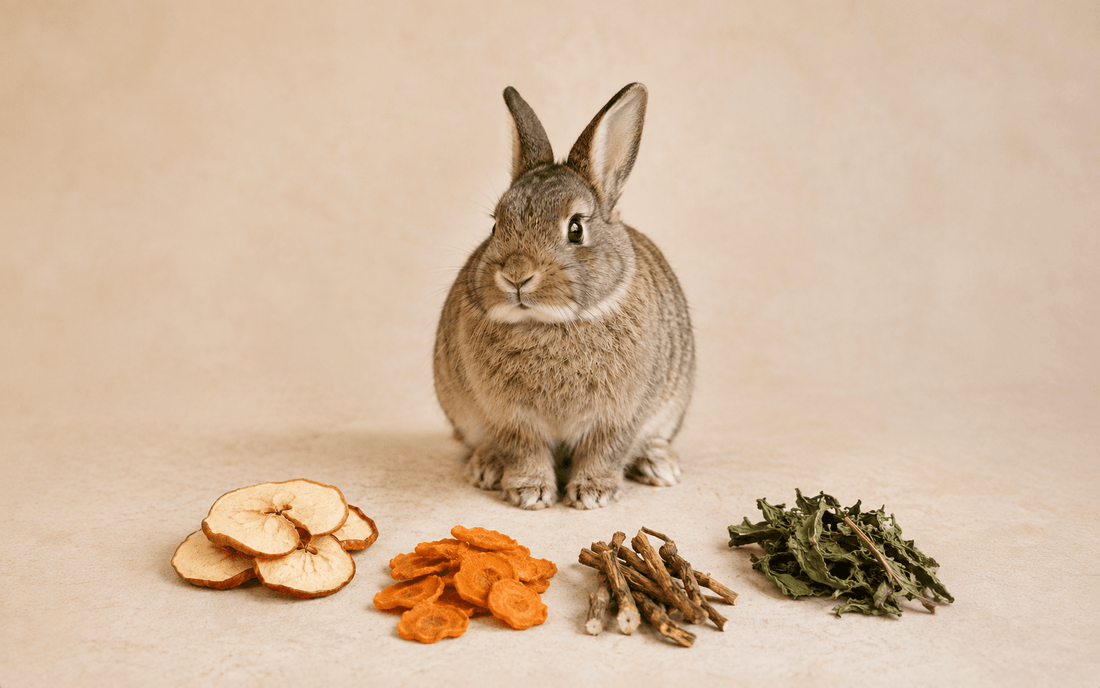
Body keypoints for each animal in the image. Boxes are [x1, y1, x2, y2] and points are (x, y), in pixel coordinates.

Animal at [433, 83, 695, 510]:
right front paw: (530, 492)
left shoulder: (619, 416)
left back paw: (660, 466)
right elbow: (524, 449)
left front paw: (592, 493)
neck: (548, 322)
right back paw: (486, 467)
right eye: (495, 225)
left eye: (575, 229)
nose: (516, 275)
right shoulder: (511, 418)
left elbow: (605, 451)